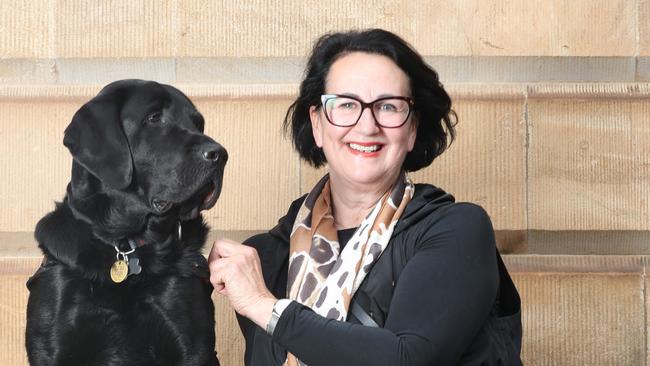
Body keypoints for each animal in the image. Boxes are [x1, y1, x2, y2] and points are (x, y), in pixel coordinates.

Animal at [25, 80, 225, 366]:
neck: (126, 244)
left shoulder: (191, 345)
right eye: (154, 118)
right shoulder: (54, 349)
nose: (220, 154)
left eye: (199, 124)